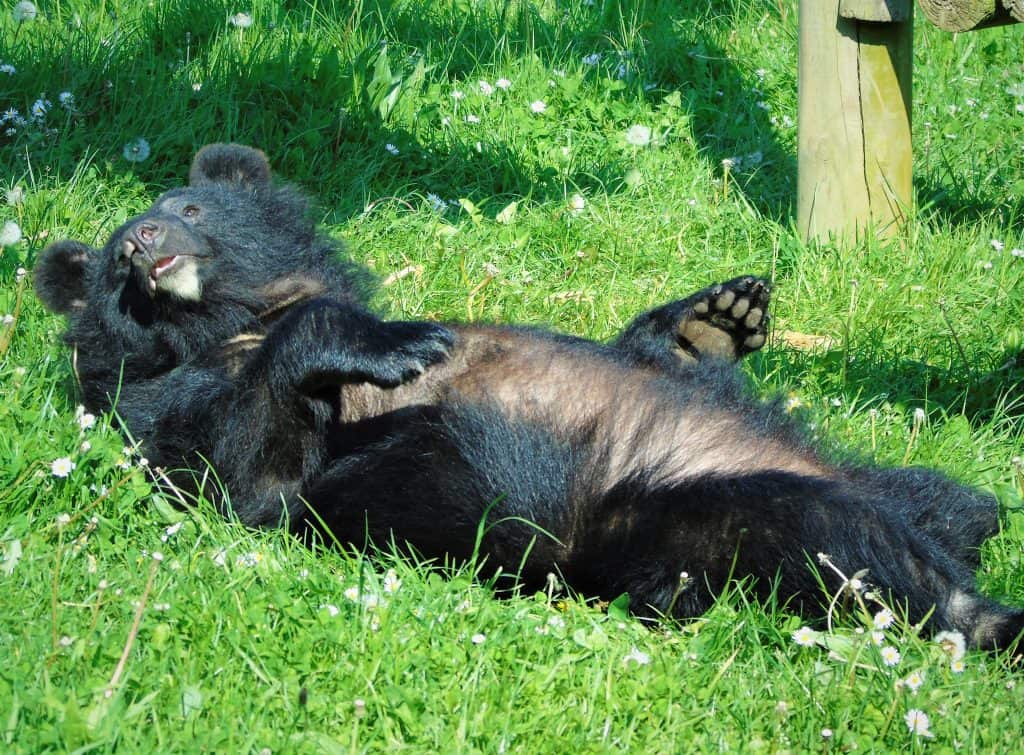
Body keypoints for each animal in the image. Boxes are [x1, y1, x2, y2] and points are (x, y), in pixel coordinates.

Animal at [34, 144, 1024, 651]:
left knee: (965, 507)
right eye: (116, 260)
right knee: (850, 548)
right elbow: (252, 475)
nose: (144, 240)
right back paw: (983, 614)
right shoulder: (177, 408)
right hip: (681, 522)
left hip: (884, 481)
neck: (234, 318)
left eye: (191, 209)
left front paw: (719, 318)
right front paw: (401, 347)